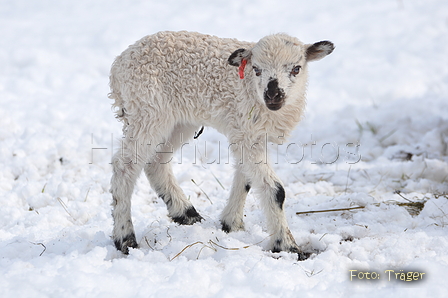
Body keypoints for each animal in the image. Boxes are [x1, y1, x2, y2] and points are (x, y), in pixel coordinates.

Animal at [107, 30, 332, 258]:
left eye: (296, 68)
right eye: (256, 69)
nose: (273, 95)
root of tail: (119, 64)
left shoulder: (248, 133)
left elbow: (246, 179)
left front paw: (231, 224)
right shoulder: (246, 133)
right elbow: (276, 191)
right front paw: (287, 246)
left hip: (178, 121)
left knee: (156, 161)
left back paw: (186, 213)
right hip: (147, 110)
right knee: (124, 165)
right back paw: (125, 238)